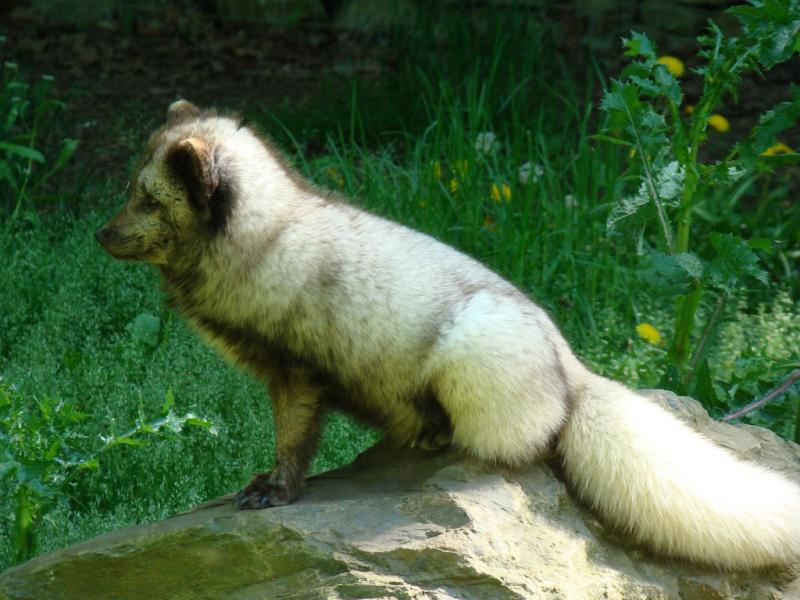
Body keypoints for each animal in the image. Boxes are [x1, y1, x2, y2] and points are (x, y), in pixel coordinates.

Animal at [96, 99, 800, 573]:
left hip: (469, 352)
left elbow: (294, 443)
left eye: (148, 198)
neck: (265, 240)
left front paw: (272, 490)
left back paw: (440, 440)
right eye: (129, 186)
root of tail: (572, 369)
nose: (100, 234)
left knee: (521, 447)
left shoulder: (296, 375)